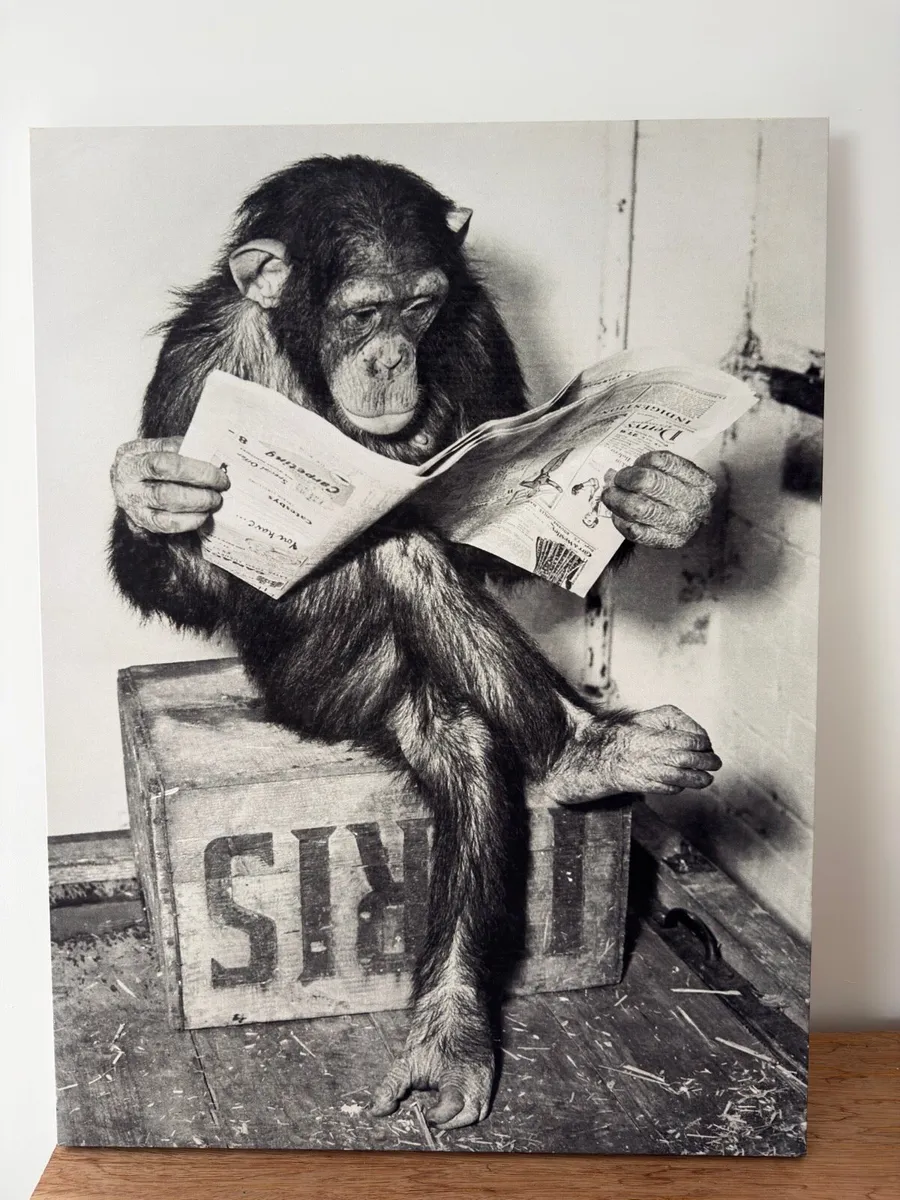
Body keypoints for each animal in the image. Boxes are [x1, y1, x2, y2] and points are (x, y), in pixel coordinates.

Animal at [109, 155, 721, 1130]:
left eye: (422, 306)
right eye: (364, 313)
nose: (393, 354)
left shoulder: (478, 328)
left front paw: (661, 498)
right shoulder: (196, 363)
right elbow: (187, 570)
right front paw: (153, 490)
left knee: (460, 722)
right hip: (324, 687)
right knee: (401, 570)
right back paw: (580, 759)